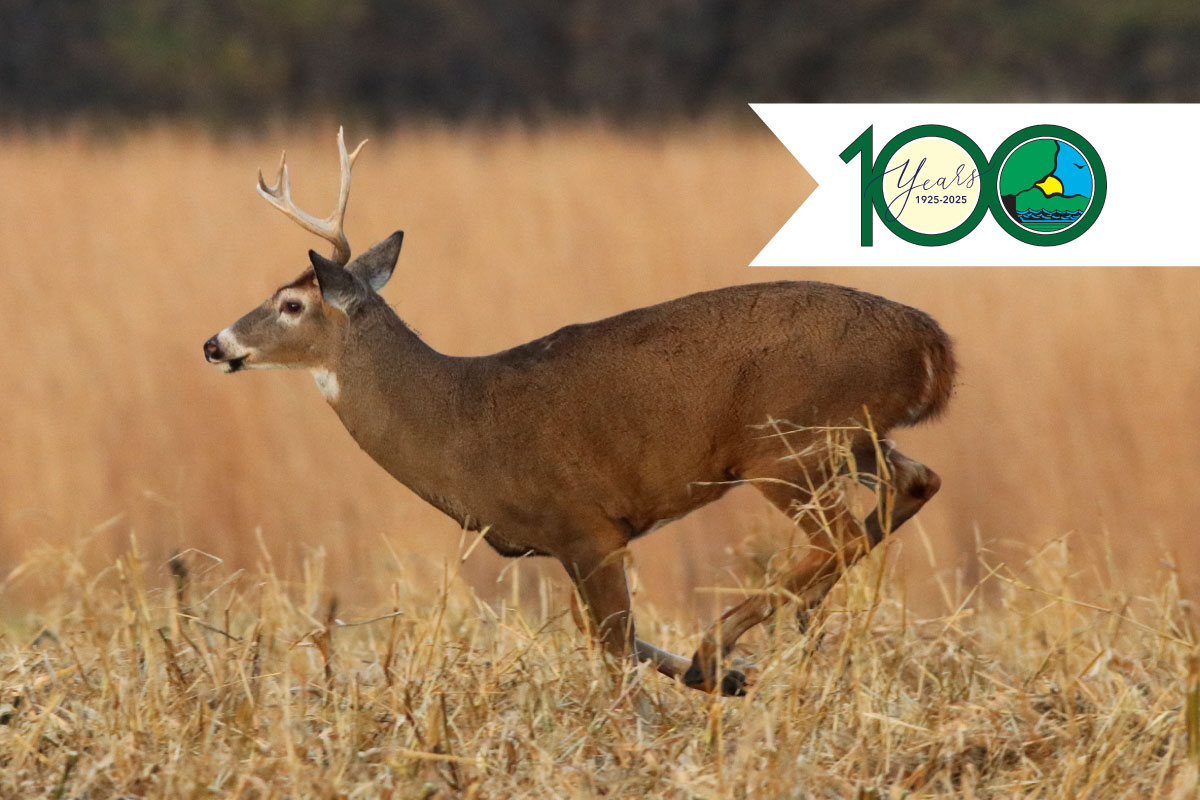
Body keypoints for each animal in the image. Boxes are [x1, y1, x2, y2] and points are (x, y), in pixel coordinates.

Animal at [203, 129, 955, 695]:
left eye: (291, 303)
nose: (216, 343)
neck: (460, 420)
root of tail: (931, 345)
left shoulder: (587, 525)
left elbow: (614, 645)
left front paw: (678, 705)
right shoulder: (568, 542)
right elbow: (602, 634)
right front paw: (726, 681)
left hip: (789, 444)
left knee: (841, 535)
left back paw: (719, 644)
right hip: (854, 439)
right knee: (917, 483)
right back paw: (762, 640)